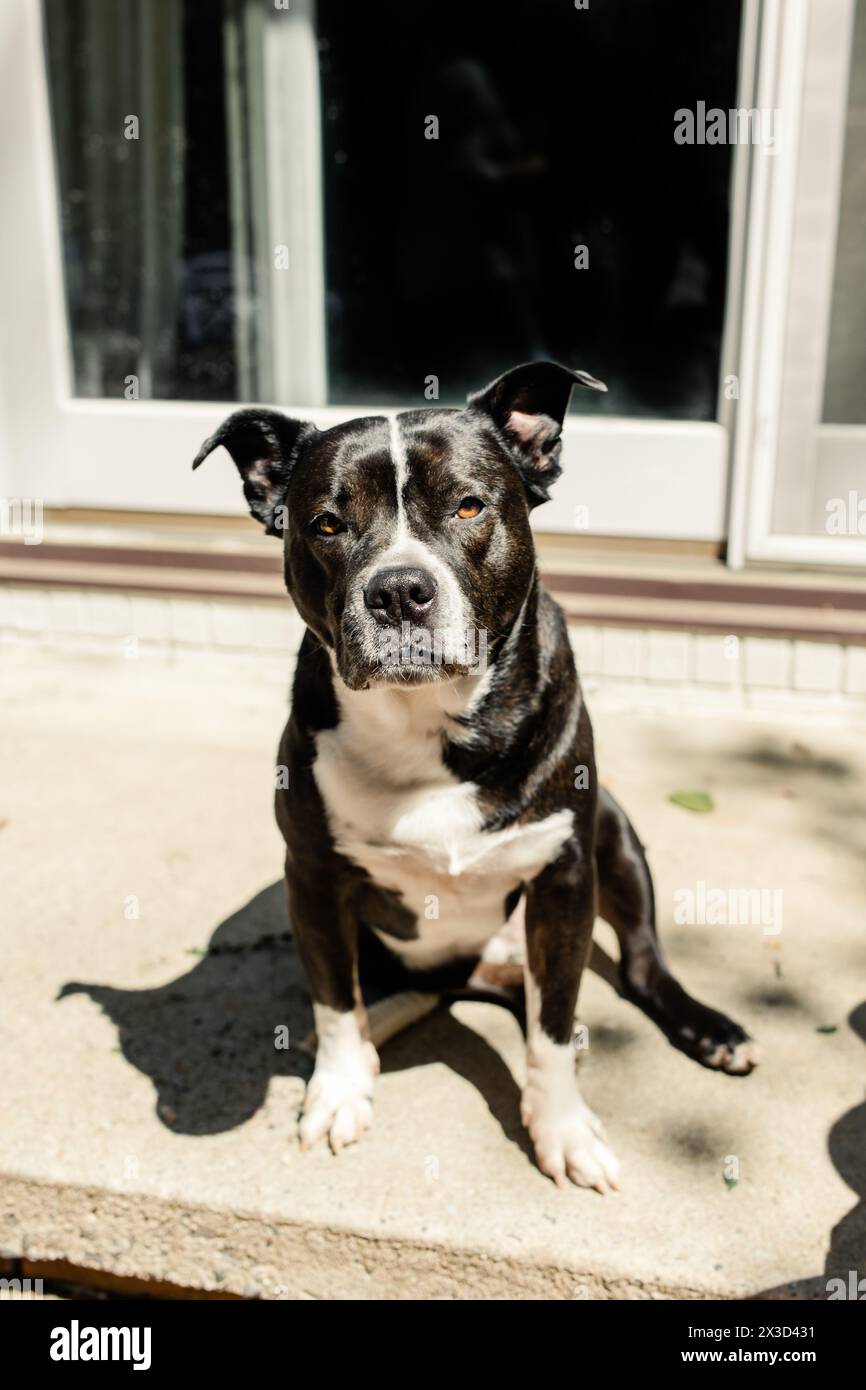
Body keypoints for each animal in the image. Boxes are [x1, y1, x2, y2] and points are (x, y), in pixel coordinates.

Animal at [195, 361, 756, 1195]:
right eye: (326, 524)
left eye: (468, 505)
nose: (398, 591)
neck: (429, 724)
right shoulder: (314, 878)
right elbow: (335, 1002)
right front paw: (339, 1090)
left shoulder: (565, 879)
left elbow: (552, 1029)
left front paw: (561, 1130)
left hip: (614, 832)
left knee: (642, 962)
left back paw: (707, 1026)